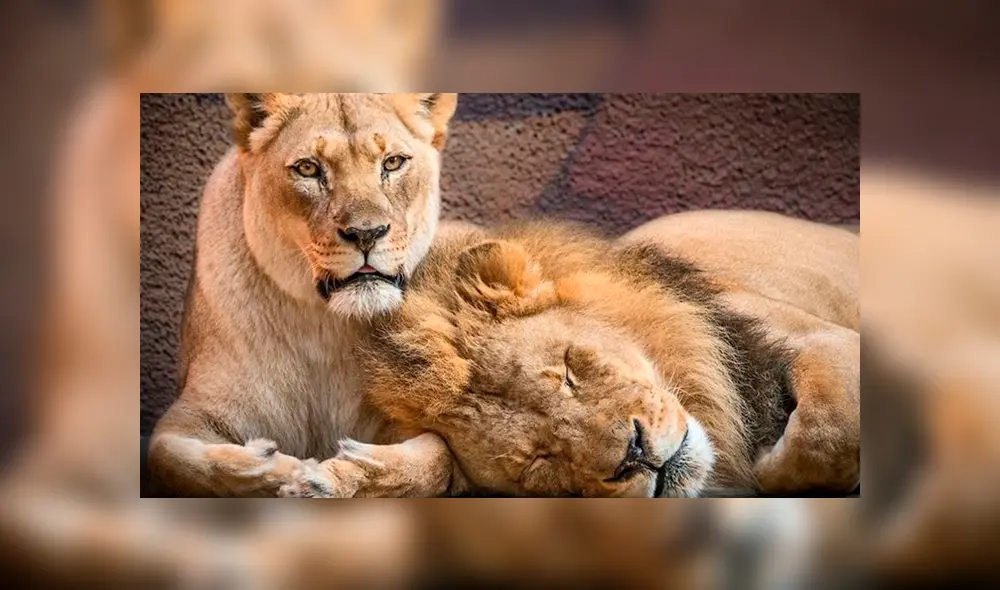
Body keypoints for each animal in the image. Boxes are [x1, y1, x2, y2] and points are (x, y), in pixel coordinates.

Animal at [147, 93, 461, 497]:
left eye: (392, 163)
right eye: (309, 169)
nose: (367, 233)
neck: (324, 323)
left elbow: (437, 460)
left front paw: (335, 476)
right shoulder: (191, 414)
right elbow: (172, 459)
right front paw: (277, 471)